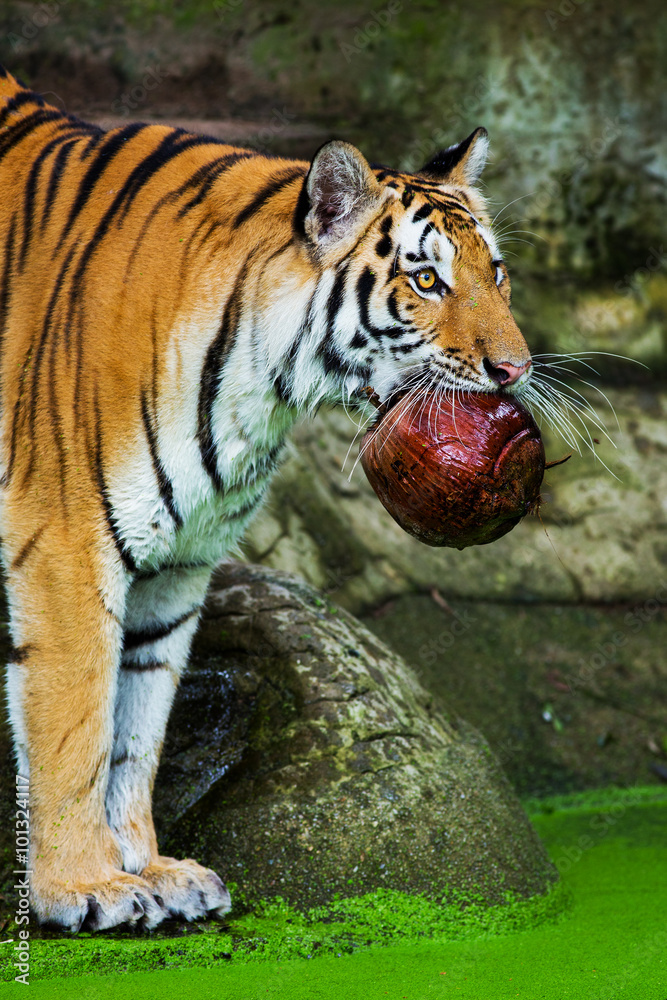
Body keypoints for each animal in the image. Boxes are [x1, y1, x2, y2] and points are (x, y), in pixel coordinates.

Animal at [0, 64, 532, 932]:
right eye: (426, 280)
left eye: (497, 274)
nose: (516, 371)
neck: (262, 389)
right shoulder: (66, 545)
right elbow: (76, 723)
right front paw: (82, 887)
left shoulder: (176, 566)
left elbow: (137, 729)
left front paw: (150, 870)